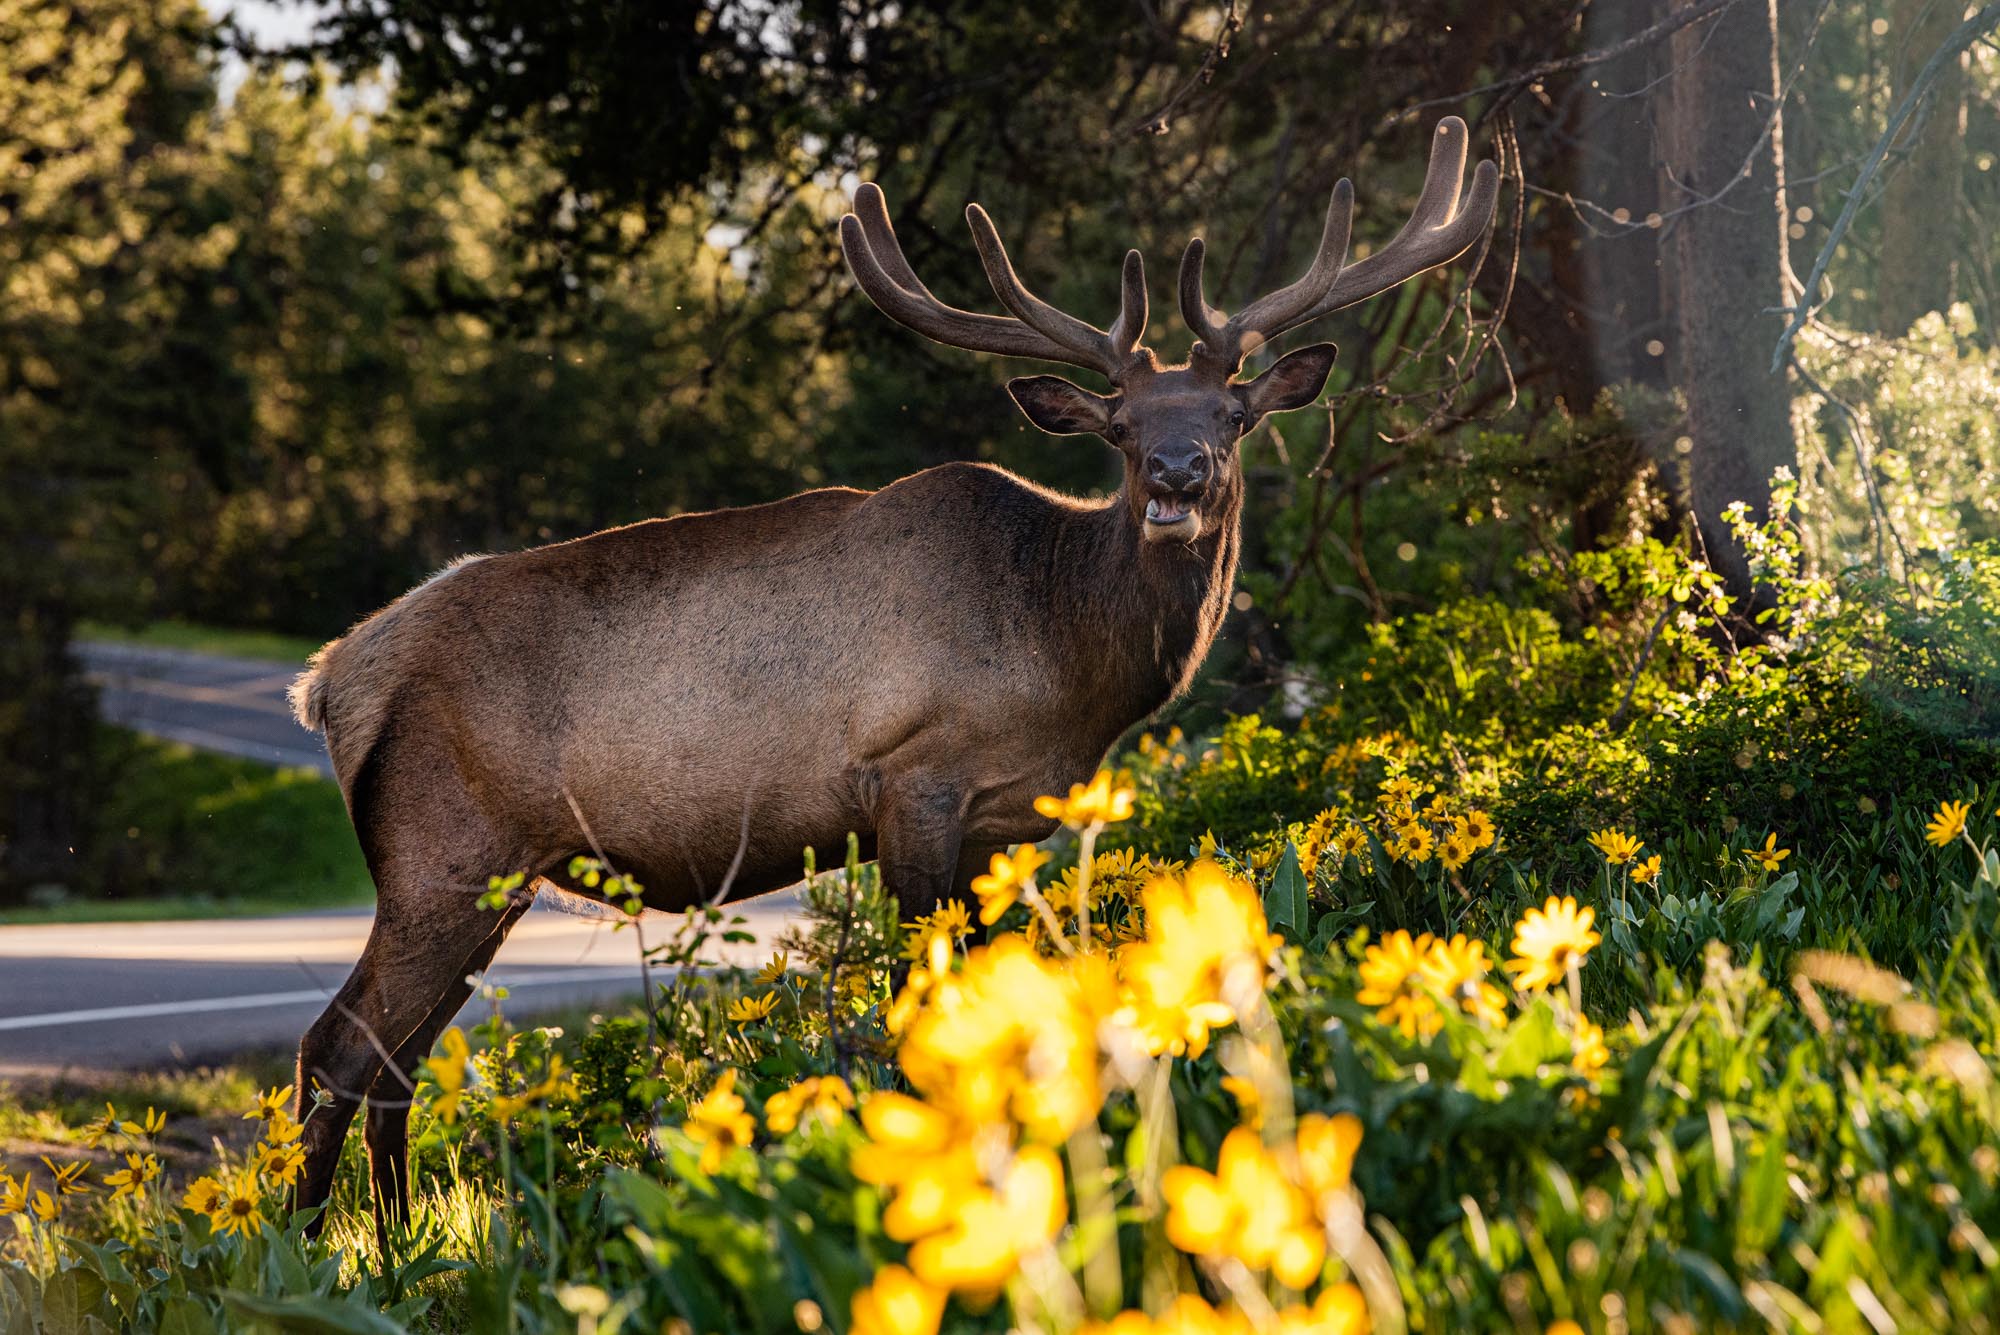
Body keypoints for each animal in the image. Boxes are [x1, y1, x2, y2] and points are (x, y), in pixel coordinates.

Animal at [285, 118, 1496, 1234]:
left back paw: (394, 1248)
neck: (1066, 657)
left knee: (394, 1065)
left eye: (1234, 416)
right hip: (439, 850)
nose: (1175, 474)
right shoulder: (912, 779)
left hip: (499, 874)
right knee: (336, 1048)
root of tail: (330, 683)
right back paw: (314, 1256)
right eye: (1117, 425)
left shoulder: (1006, 821)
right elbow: (922, 1002)